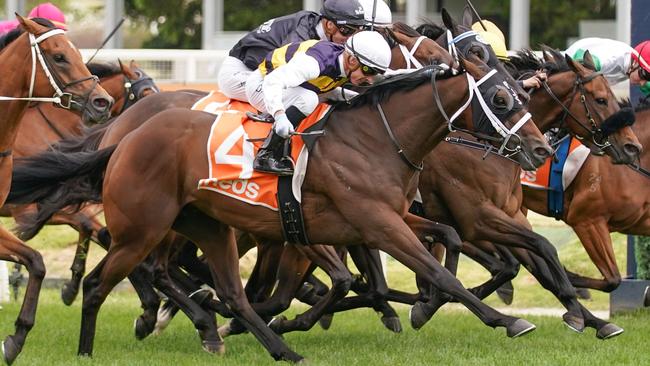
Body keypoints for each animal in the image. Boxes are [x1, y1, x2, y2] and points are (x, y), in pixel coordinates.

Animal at [0, 15, 111, 364]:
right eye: (59, 56)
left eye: (77, 53)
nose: (103, 102)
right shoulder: (27, 212)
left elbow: (36, 261)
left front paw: (17, 337)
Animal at [7, 57, 552, 360]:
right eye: (501, 97)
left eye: (522, 93)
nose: (541, 149)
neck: (376, 138)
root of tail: (123, 137)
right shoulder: (374, 224)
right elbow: (436, 274)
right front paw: (506, 320)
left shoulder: (384, 219)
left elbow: (442, 244)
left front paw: (416, 307)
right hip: (144, 228)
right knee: (113, 280)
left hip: (206, 227)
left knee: (222, 288)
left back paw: (242, 334)